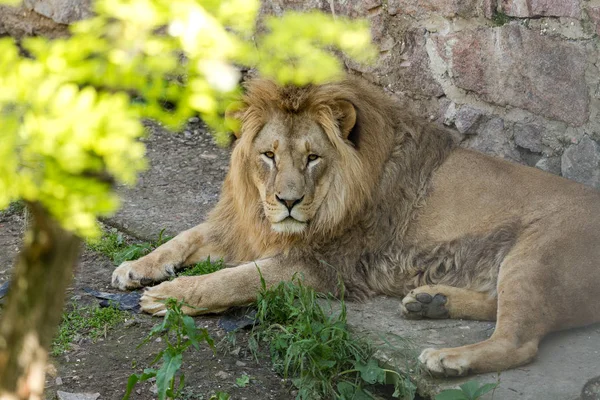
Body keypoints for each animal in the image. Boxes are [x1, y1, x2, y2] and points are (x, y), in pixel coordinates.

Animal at [110, 76, 600, 378]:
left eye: (313, 158)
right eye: (269, 155)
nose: (288, 202)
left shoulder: (323, 265)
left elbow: (231, 280)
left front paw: (170, 297)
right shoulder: (245, 227)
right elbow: (185, 237)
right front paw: (135, 267)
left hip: (536, 255)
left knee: (520, 340)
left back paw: (447, 358)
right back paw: (431, 302)